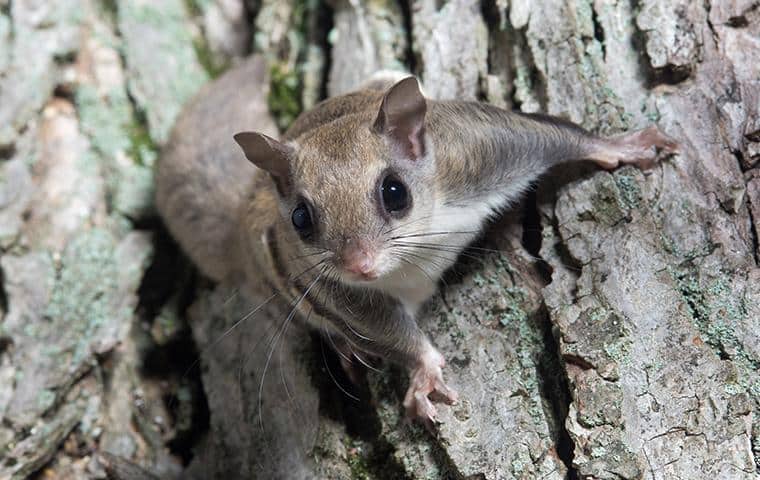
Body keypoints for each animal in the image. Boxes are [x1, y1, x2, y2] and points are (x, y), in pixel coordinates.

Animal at [157, 55, 680, 428]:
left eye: (395, 192)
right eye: (301, 218)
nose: (361, 265)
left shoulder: (476, 151)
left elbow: (551, 135)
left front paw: (622, 146)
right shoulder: (327, 285)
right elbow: (382, 327)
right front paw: (425, 371)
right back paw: (344, 348)